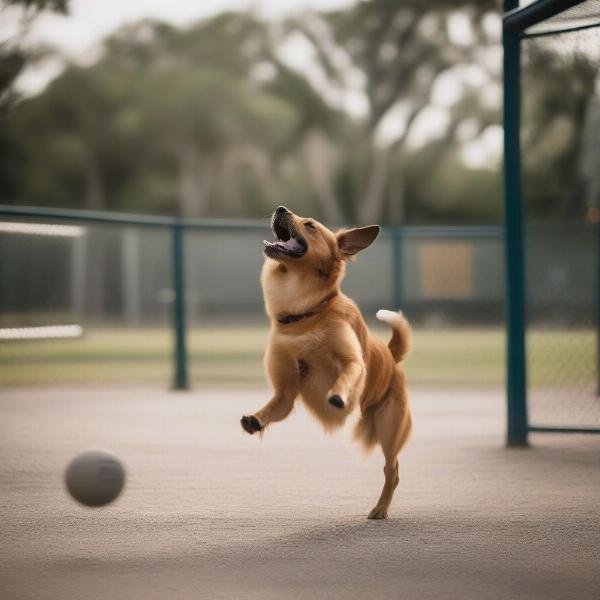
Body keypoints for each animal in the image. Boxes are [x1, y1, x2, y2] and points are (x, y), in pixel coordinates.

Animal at [239, 207, 412, 520]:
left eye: (310, 225)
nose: (280, 208)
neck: (307, 313)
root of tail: (391, 357)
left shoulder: (352, 361)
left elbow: (346, 374)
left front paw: (338, 395)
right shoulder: (285, 391)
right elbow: (274, 407)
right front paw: (255, 420)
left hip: (388, 429)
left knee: (391, 471)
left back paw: (380, 508)